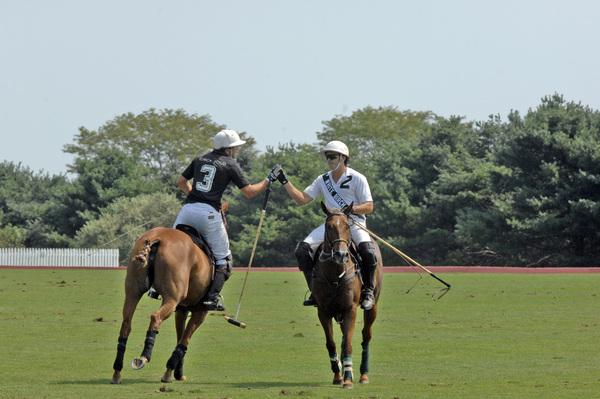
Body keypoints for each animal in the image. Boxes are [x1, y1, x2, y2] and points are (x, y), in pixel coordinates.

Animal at [111, 225, 214, 384]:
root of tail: (155, 239)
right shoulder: (200, 311)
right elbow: (184, 341)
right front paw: (169, 372)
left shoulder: (182, 309)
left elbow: (180, 338)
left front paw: (177, 371)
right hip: (172, 297)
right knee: (156, 317)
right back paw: (144, 357)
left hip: (133, 290)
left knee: (126, 323)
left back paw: (117, 372)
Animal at [312, 202, 382, 390]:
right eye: (328, 226)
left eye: (347, 226)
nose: (341, 255)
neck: (335, 274)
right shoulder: (323, 311)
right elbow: (332, 343)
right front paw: (338, 374)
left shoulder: (351, 309)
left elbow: (349, 345)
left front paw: (348, 379)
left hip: (372, 305)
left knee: (366, 335)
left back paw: (363, 374)